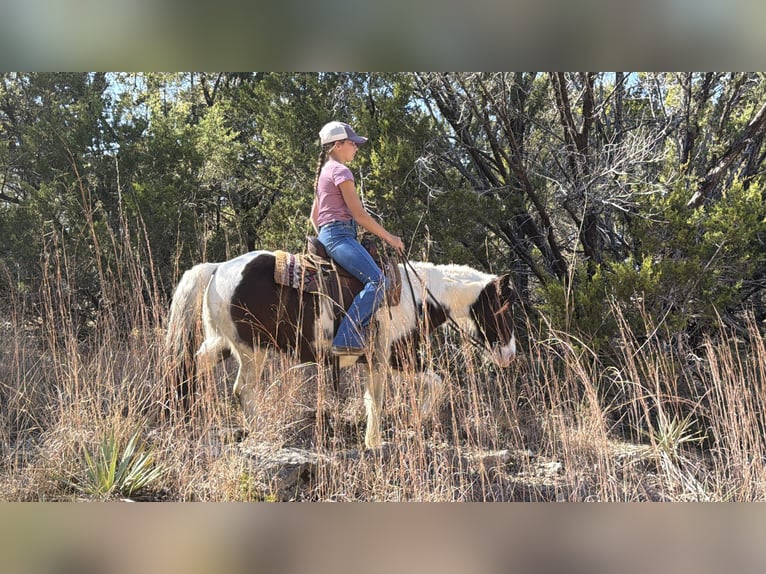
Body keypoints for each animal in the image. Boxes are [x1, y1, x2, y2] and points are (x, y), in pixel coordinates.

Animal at [164, 249, 517, 449]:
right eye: (504, 308)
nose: (509, 354)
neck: (415, 296)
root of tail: (217, 267)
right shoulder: (390, 357)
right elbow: (388, 396)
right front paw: (377, 440)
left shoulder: (394, 359)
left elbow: (425, 385)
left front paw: (409, 423)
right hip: (252, 349)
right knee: (242, 389)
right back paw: (259, 429)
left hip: (223, 342)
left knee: (190, 367)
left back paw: (188, 414)